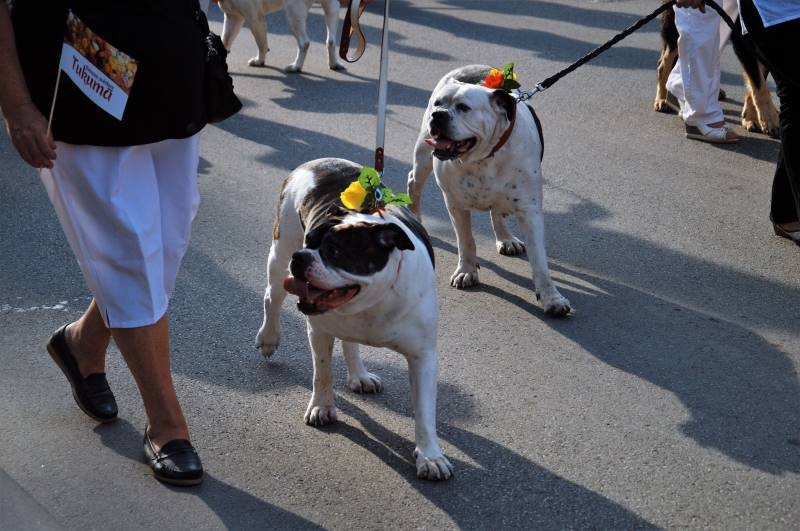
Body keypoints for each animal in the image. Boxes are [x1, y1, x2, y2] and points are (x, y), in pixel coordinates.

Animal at [216, 0, 344, 71]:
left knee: (304, 43)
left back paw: (296, 67)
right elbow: (225, 40)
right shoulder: (233, 18)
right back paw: (333, 64)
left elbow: (261, 44)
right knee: (331, 40)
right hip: (332, 7)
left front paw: (259, 61)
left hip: (293, 14)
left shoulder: (255, 19)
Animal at [258, 158, 456, 482]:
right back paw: (268, 338)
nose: (302, 256)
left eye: (335, 251)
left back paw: (360, 375)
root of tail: (316, 162)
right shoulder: (319, 330)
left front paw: (430, 456)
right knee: (271, 298)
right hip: (280, 253)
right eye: (310, 240)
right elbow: (322, 372)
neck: (372, 300)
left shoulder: (423, 356)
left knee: (350, 342)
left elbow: (425, 411)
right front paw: (322, 407)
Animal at [410, 64, 572, 318]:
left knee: (496, 211)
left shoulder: (530, 210)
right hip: (423, 157)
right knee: (413, 183)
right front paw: (467, 271)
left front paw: (551, 297)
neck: (482, 158)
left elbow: (539, 259)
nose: (438, 114)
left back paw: (505, 238)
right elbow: (465, 240)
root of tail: (472, 67)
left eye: (464, 108)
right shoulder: (455, 203)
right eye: (439, 103)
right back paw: (415, 217)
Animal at [652, 2, 780, 139]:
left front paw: (751, 117)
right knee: (664, 63)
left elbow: (756, 83)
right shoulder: (743, 37)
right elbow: (758, 84)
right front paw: (769, 120)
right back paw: (662, 98)